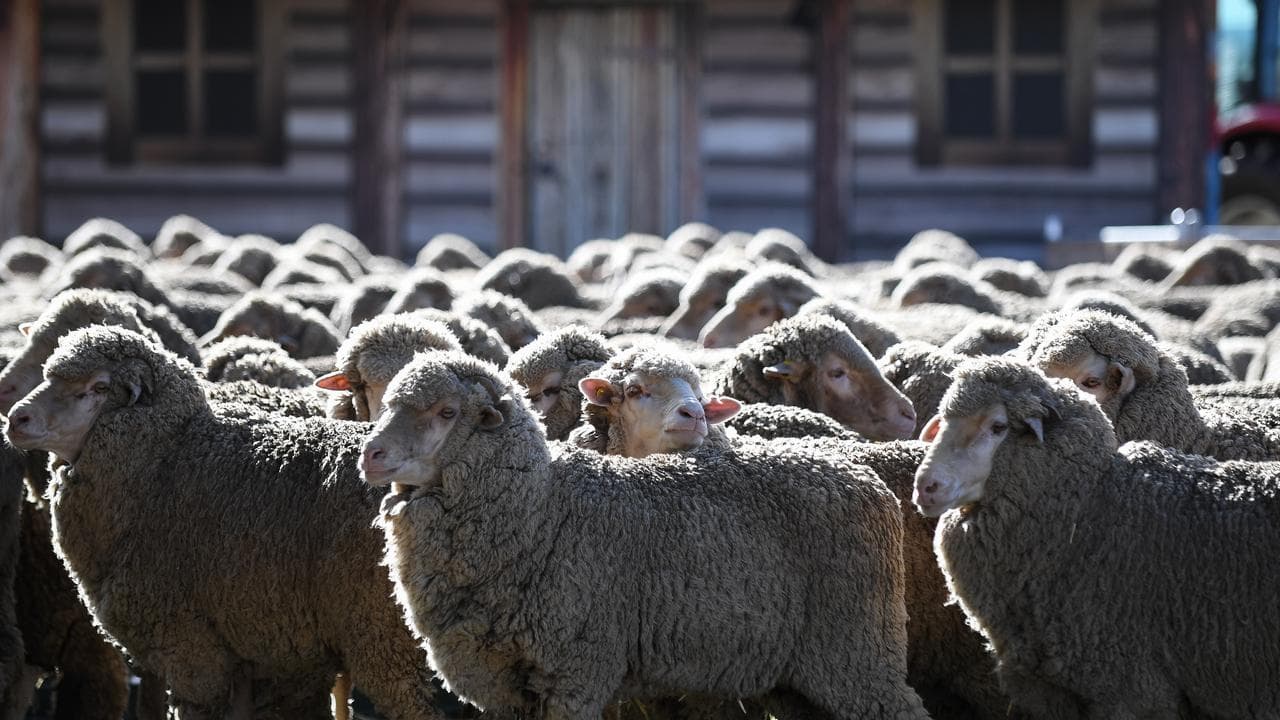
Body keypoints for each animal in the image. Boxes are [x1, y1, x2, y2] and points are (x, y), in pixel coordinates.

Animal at [5, 326, 445, 720]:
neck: (162, 462)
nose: (16, 419)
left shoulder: (191, 645)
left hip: (383, 640)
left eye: (98, 387)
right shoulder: (261, 650)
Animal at [361, 348, 930, 719]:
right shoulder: (501, 685)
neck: (539, 510)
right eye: (386, 406)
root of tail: (862, 476)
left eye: (446, 412)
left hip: (855, 649)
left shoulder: (577, 670)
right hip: (797, 678)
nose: (371, 454)